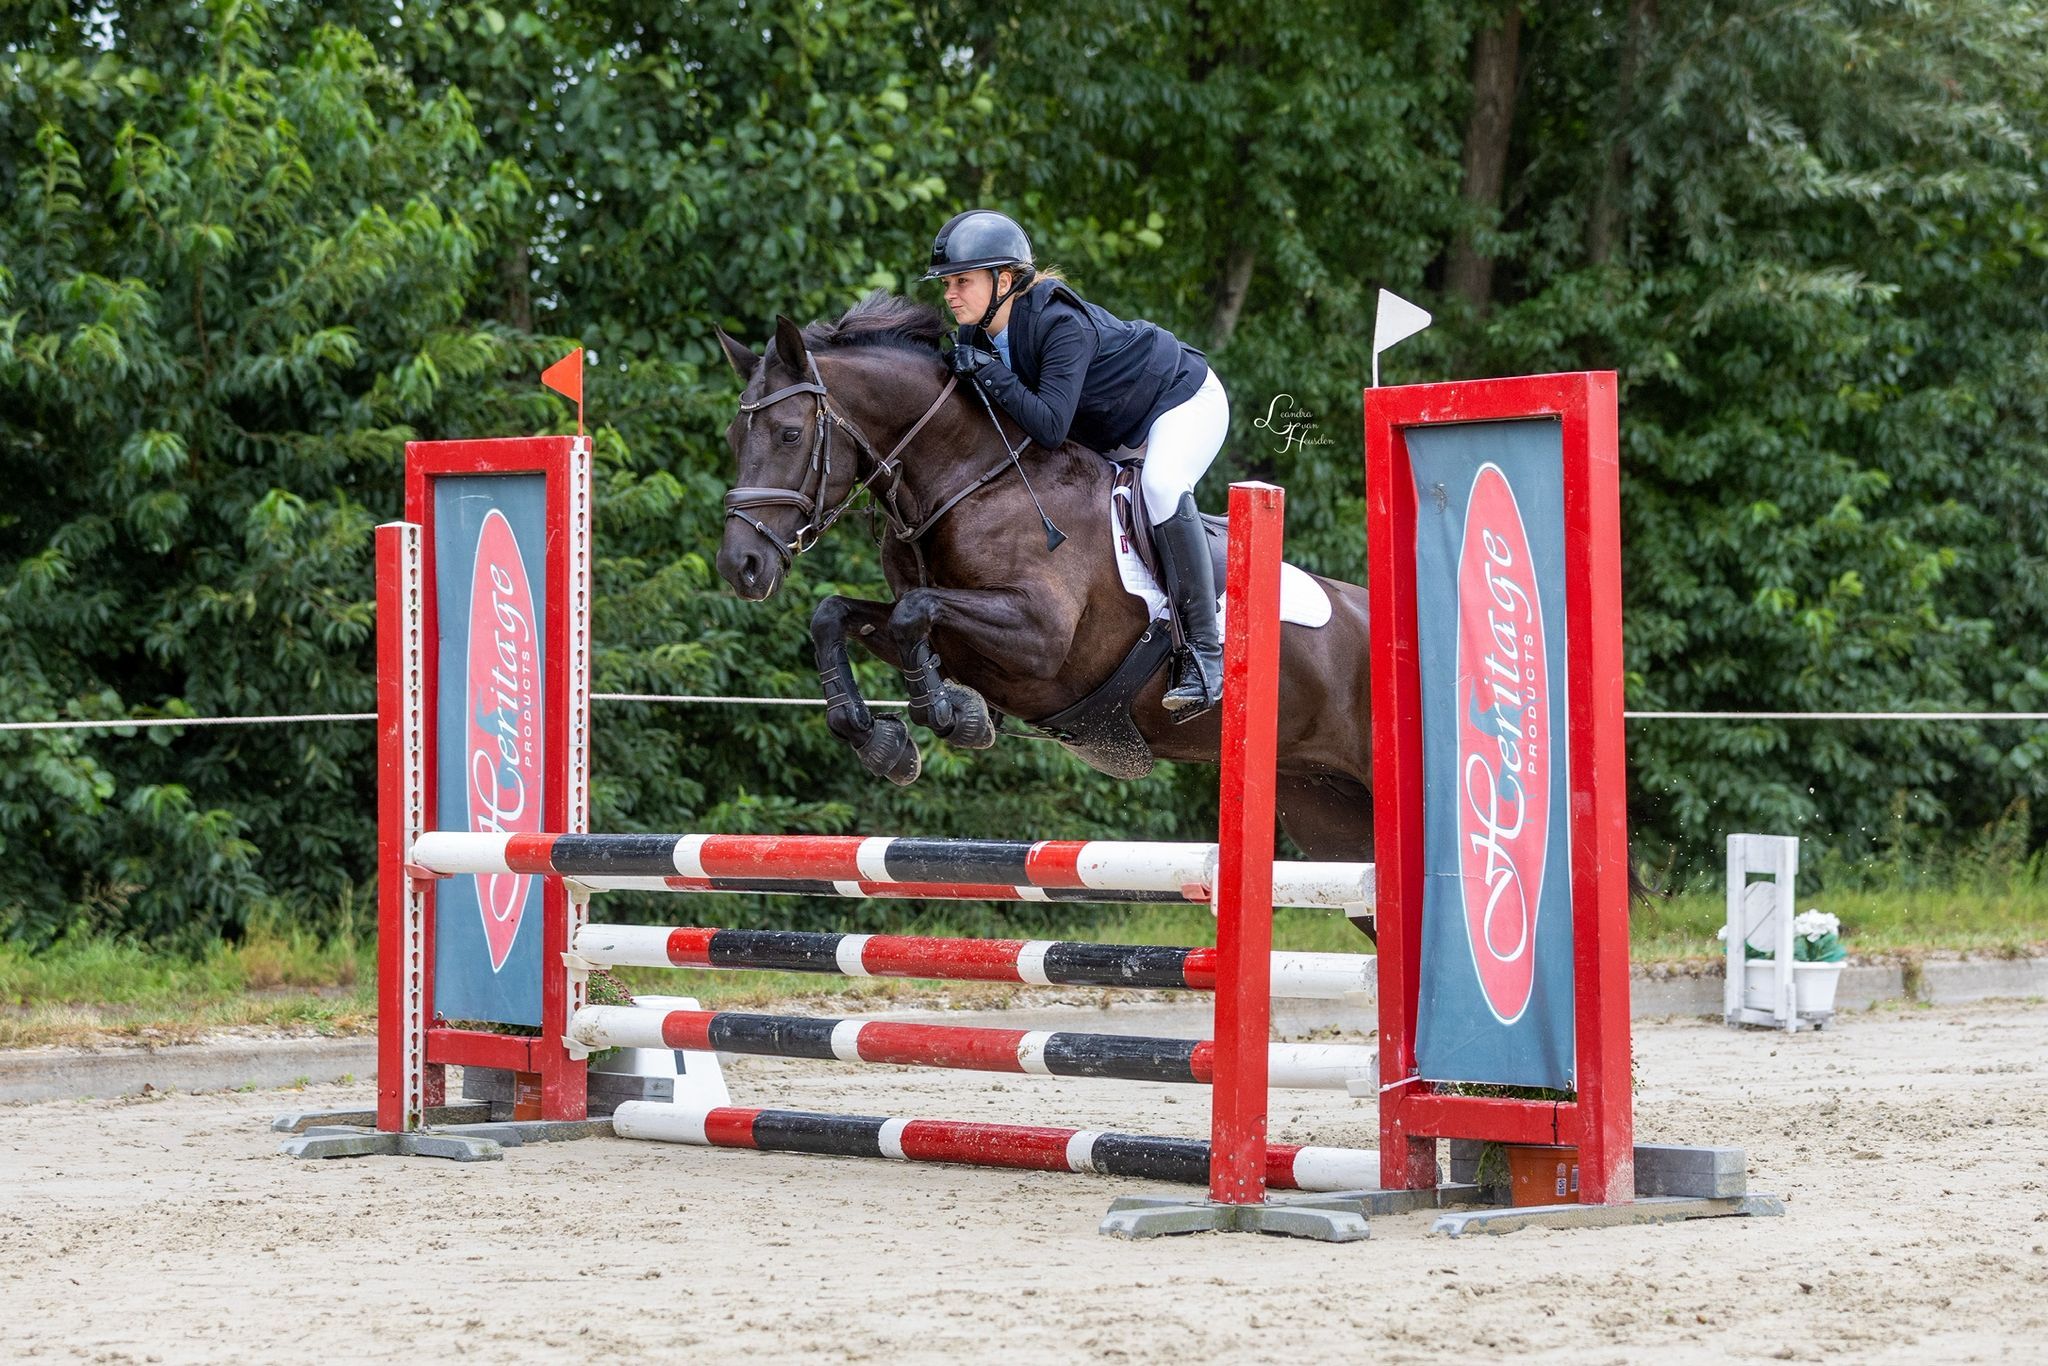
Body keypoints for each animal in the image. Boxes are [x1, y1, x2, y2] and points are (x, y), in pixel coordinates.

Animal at [712, 293, 1375, 872]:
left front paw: (948, 713)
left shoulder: (1040, 638)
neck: (970, 479)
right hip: (1328, 815)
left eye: (790, 434)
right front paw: (884, 739)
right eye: (733, 439)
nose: (740, 566)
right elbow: (839, 613)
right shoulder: (956, 630)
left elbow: (913, 613)